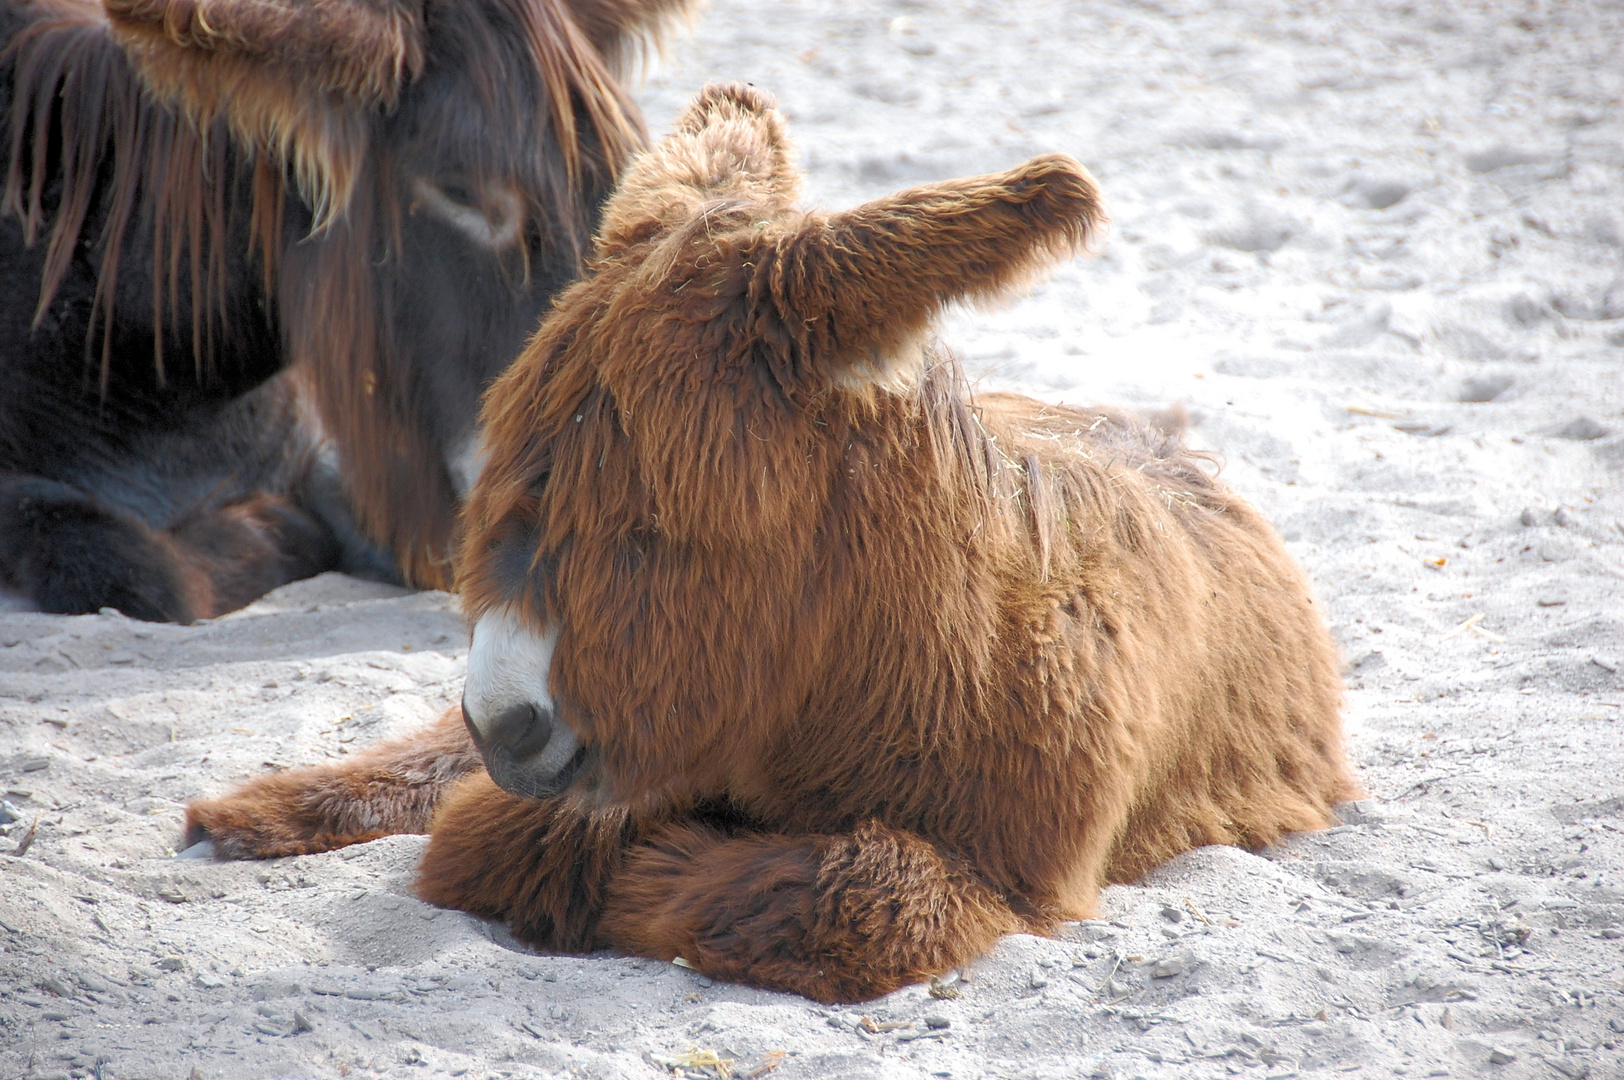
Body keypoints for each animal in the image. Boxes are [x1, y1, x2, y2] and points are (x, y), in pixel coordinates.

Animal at [186, 84, 1357, 1000]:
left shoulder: (1018, 870)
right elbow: (504, 837)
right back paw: (243, 816)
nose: (507, 721)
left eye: (660, 525)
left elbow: (831, 897)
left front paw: (655, 874)